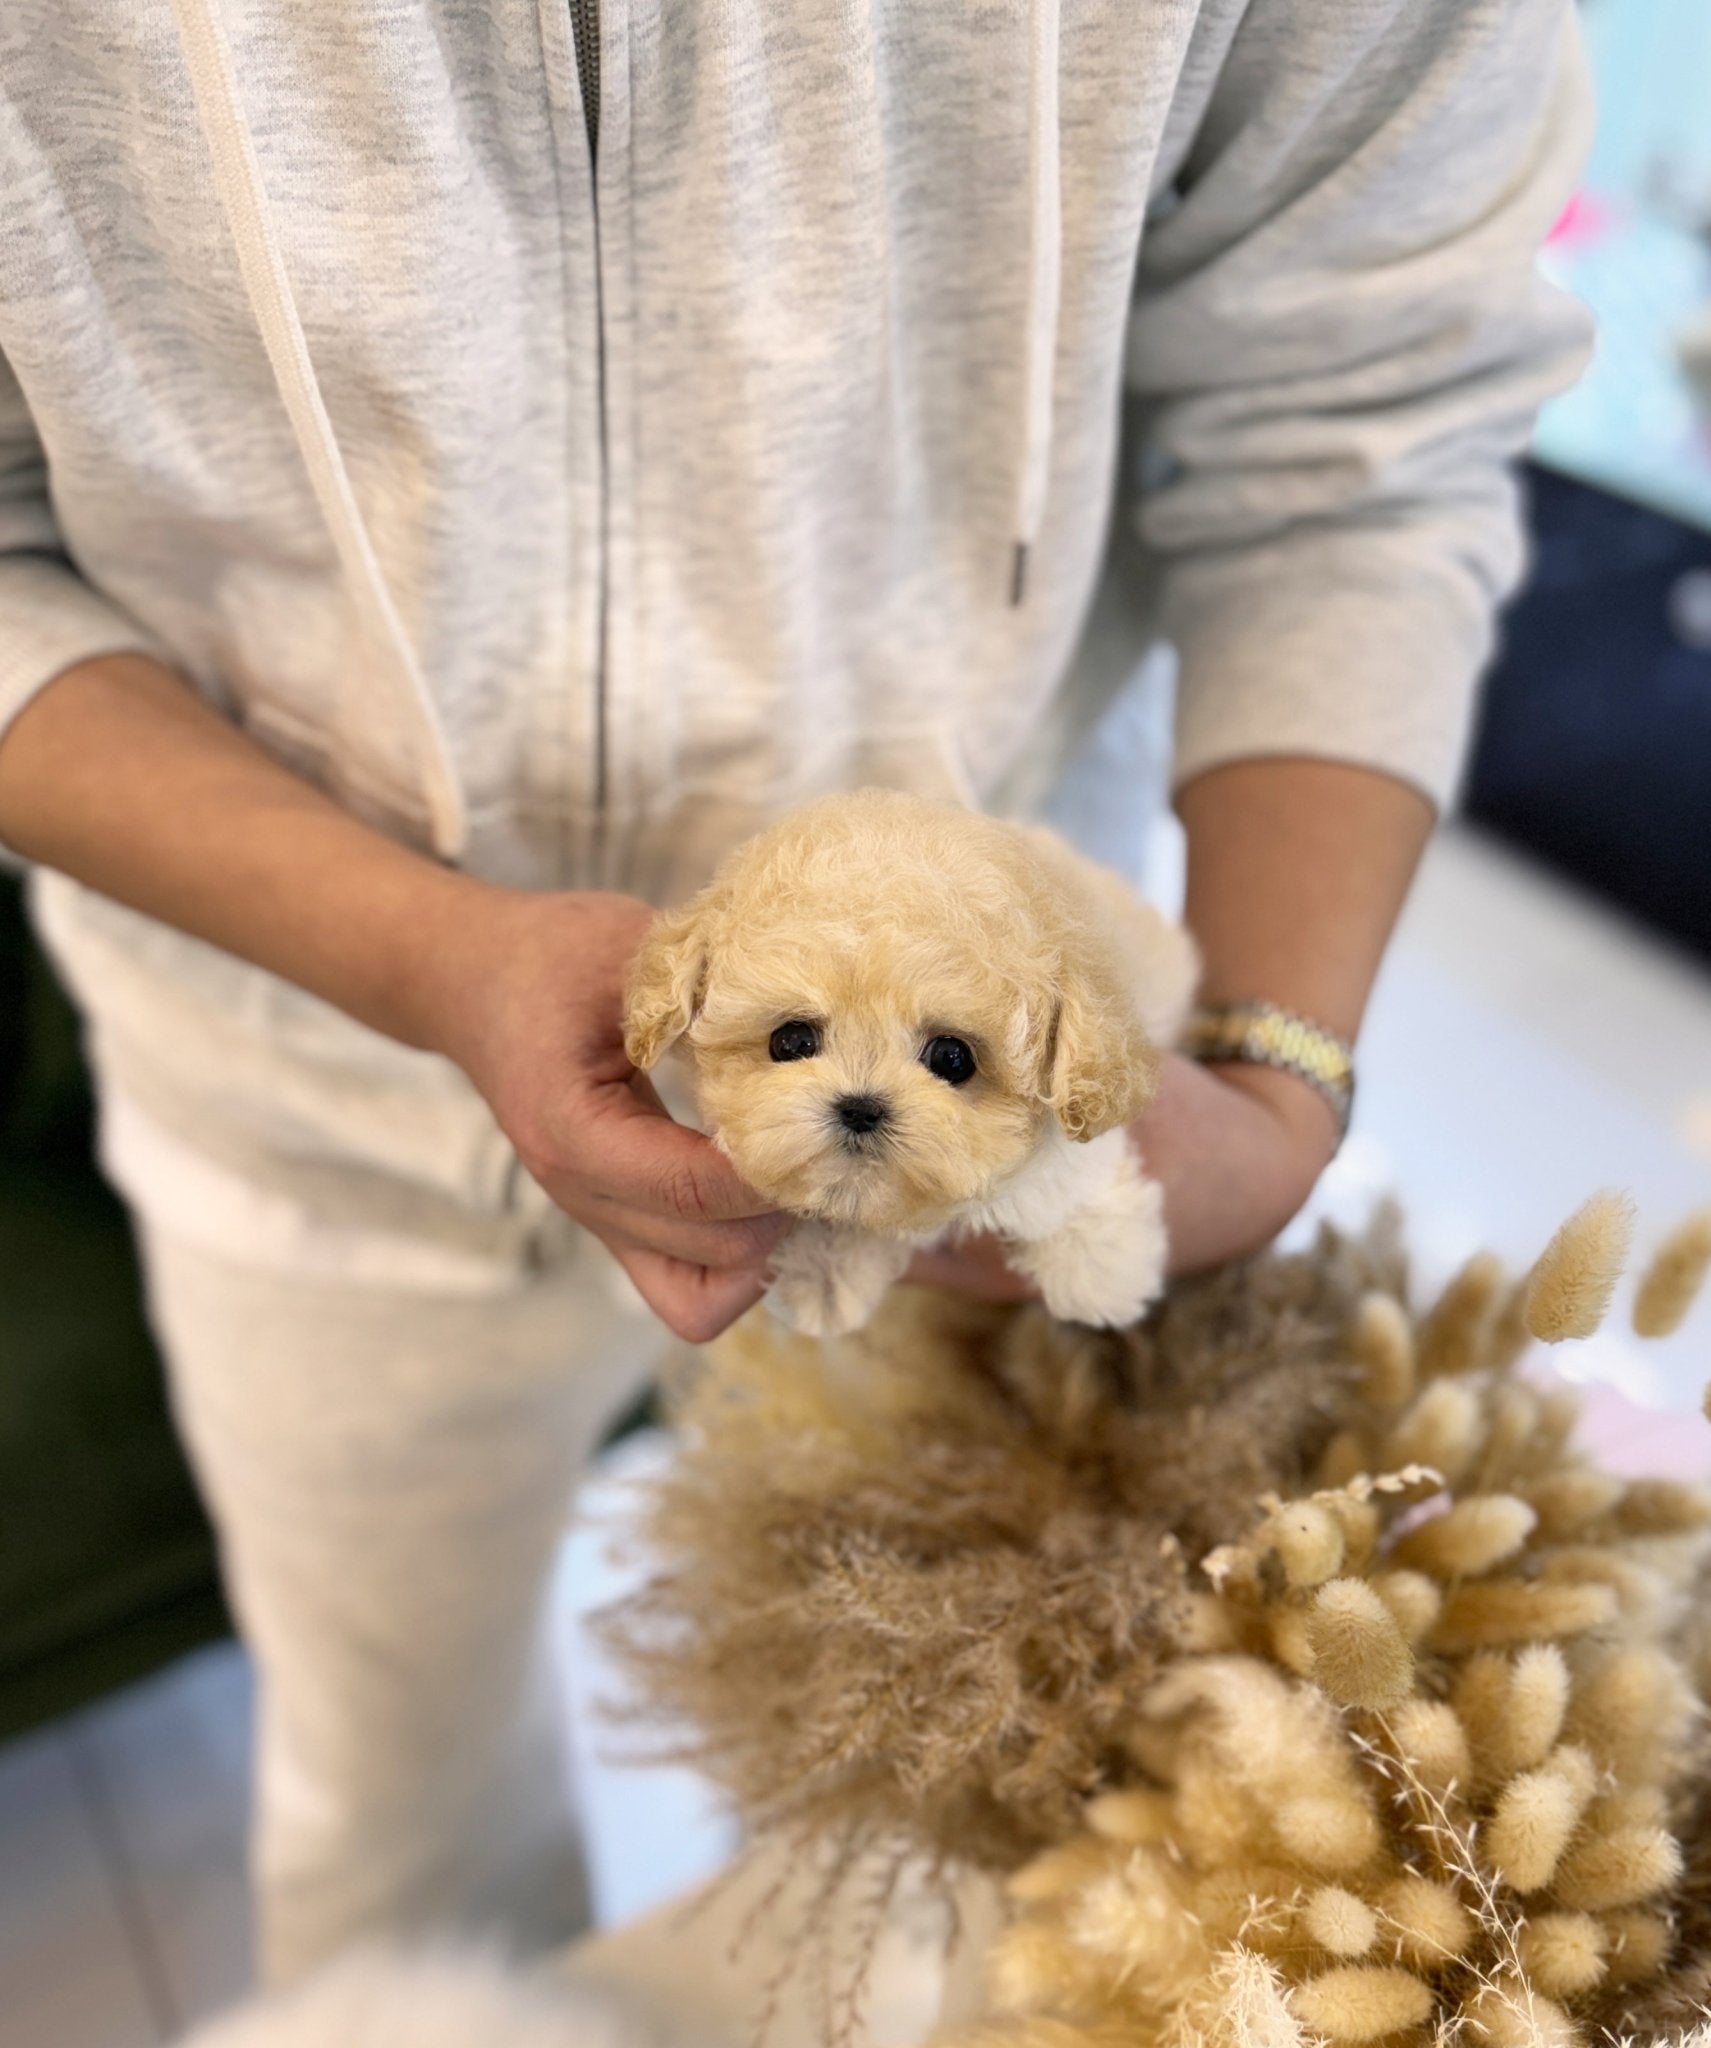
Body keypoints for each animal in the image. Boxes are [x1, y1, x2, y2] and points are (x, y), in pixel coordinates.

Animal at [622, 778, 1196, 1327]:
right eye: (790, 1042)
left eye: (952, 1058)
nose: (860, 1107)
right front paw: (825, 1271)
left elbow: (1066, 1181)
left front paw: (1100, 1270)